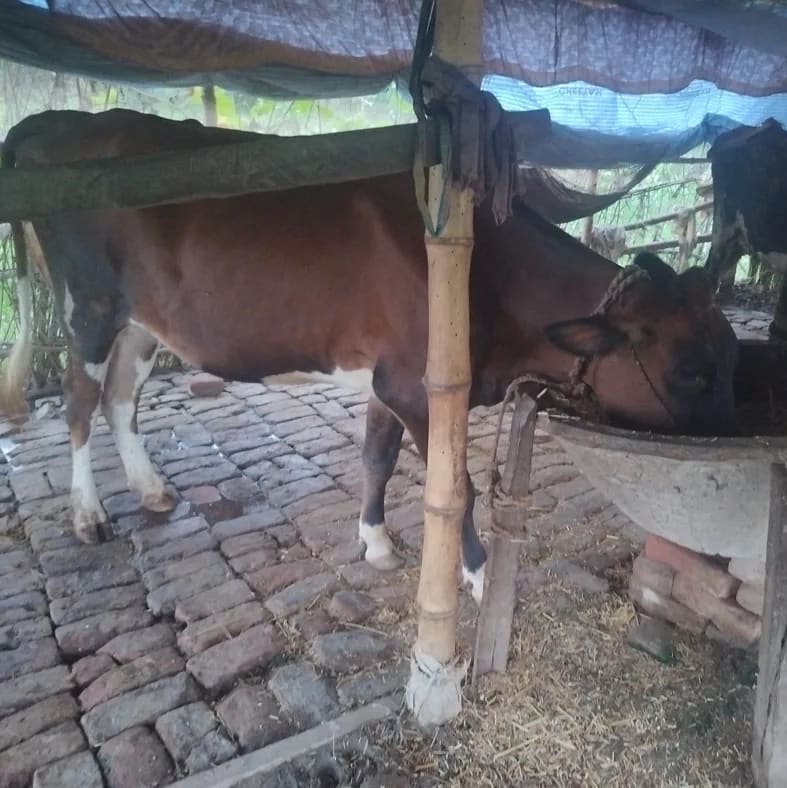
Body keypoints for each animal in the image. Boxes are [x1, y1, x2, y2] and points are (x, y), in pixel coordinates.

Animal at [0, 109, 739, 603]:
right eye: (689, 371)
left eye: (729, 351)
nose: (731, 450)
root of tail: (55, 121)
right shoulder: (420, 385)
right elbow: (456, 489)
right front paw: (476, 576)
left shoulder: (389, 382)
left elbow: (376, 459)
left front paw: (377, 543)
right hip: (89, 306)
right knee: (80, 401)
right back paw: (88, 515)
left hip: (140, 323)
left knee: (122, 398)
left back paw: (151, 491)